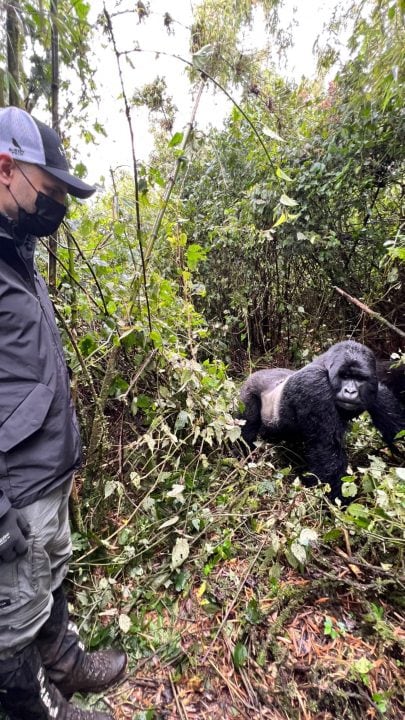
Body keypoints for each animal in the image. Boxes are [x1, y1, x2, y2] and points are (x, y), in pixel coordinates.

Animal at [238, 342, 402, 500]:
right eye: (344, 376)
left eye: (360, 379)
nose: (350, 391)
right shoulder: (314, 384)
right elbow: (327, 451)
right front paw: (338, 503)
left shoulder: (378, 389)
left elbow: (398, 433)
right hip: (248, 391)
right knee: (247, 430)